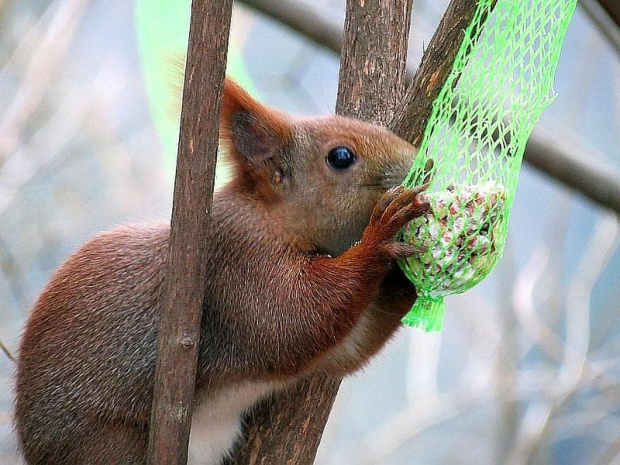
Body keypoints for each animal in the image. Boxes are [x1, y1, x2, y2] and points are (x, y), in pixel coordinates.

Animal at [15, 80, 432, 464]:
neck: (272, 219)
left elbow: (351, 343)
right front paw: (379, 237)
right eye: (341, 156)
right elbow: (290, 322)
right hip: (109, 449)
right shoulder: (235, 262)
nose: (420, 163)